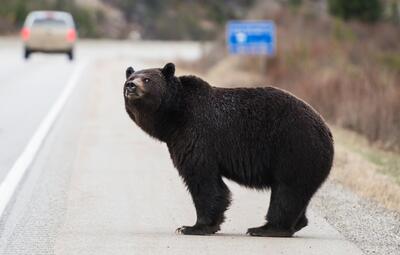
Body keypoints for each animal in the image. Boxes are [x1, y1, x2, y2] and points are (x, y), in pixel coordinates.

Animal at [122, 63, 334, 237]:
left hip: (295, 149)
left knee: (287, 191)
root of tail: (326, 130)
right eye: (130, 78)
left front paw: (193, 227)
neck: (174, 117)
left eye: (147, 79)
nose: (131, 86)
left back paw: (266, 228)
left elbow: (202, 179)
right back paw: (294, 224)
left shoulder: (197, 135)